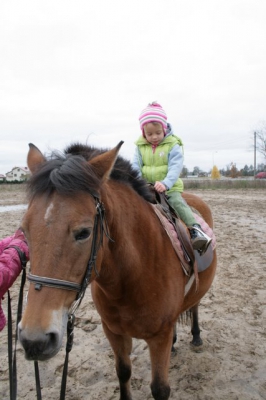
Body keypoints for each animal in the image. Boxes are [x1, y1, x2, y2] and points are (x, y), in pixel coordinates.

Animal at [18, 142, 216, 400]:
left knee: (195, 307)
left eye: (84, 232)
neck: (131, 278)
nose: (35, 339)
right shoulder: (113, 332)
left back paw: (196, 336)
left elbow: (160, 389)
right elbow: (123, 371)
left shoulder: (158, 338)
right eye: (24, 230)